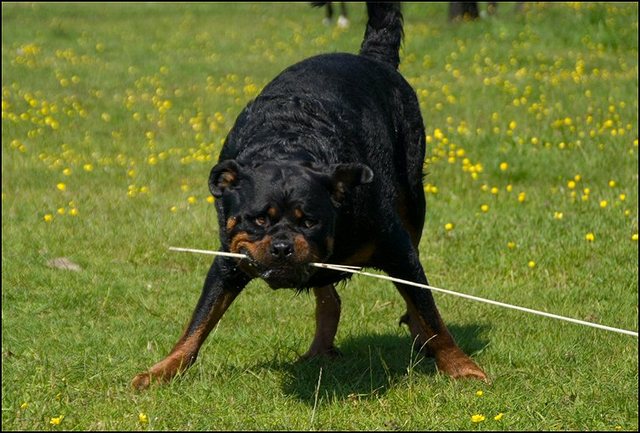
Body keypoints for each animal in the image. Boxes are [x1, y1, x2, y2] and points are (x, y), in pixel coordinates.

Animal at [134, 1, 484, 390]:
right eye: (259, 219)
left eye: (310, 221)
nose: (282, 246)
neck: (290, 146)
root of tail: (372, 57)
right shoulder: (228, 258)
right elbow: (199, 320)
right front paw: (162, 369)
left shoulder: (396, 245)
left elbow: (429, 311)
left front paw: (461, 366)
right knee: (328, 296)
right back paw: (320, 348)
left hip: (412, 197)